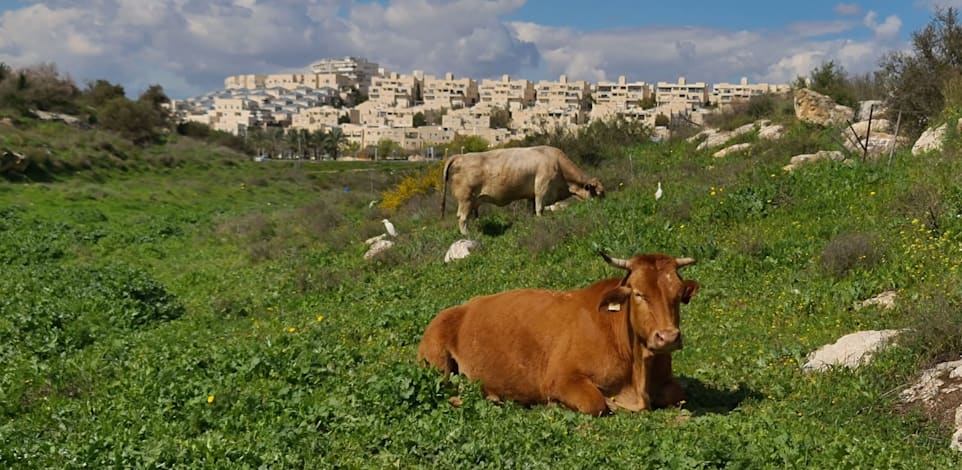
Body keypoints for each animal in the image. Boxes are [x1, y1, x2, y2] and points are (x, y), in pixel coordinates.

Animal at [416, 253, 692, 414]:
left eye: (678, 293)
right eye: (638, 293)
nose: (668, 337)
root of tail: (460, 307)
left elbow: (678, 393)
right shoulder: (560, 379)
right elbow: (595, 403)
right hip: (435, 361)